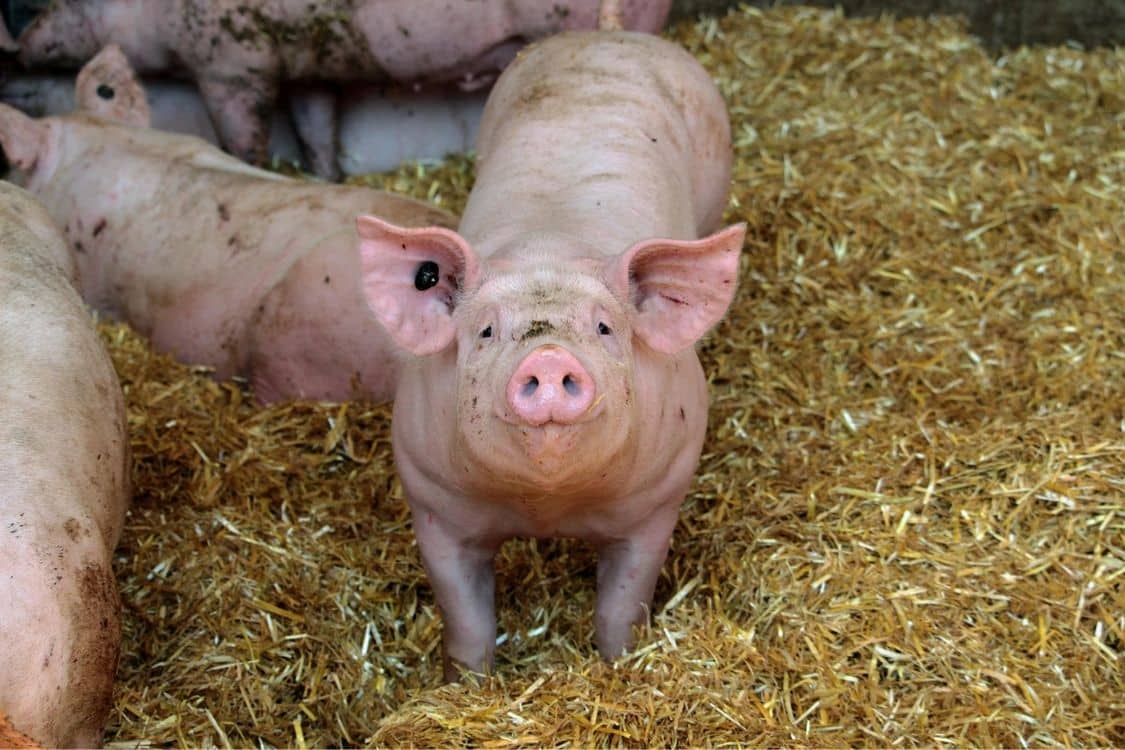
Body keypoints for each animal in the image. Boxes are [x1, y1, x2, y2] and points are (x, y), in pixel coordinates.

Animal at [18, 0, 672, 178]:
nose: (15, 40)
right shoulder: (311, 68)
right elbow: (315, 128)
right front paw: (326, 177)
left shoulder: (231, 63)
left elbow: (244, 139)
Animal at [354, 9, 746, 678]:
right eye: (486, 330)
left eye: (605, 328)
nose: (548, 356)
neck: (547, 508)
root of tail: (605, 33)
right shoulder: (433, 502)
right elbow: (466, 619)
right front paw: (466, 683)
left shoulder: (657, 502)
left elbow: (622, 606)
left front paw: (617, 666)